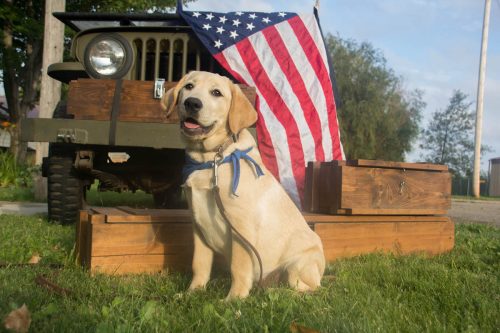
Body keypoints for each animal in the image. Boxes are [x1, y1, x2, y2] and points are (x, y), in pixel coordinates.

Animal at [161, 70, 324, 298]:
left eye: (216, 93)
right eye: (189, 86)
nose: (192, 103)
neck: (210, 159)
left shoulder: (240, 226)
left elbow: (239, 266)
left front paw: (234, 298)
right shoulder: (198, 226)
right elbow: (199, 264)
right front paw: (192, 292)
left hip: (298, 265)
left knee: (309, 289)